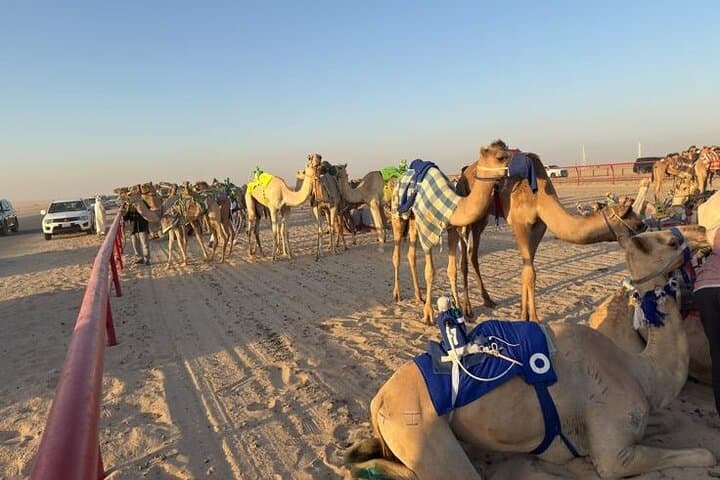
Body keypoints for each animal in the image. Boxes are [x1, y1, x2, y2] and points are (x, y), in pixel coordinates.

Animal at [345, 225, 715, 479]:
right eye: (668, 241)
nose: (702, 232)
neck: (640, 373)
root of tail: (379, 401)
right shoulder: (614, 454)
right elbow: (704, 454)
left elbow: (670, 423)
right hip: (421, 432)